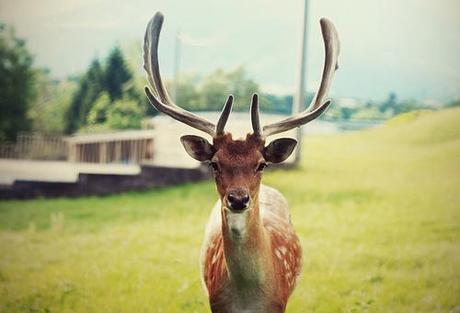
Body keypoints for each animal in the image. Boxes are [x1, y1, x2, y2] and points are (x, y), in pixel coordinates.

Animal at [142, 11, 340, 310]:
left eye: (261, 164)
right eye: (214, 163)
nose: (238, 198)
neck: (247, 298)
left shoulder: (280, 303)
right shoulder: (215, 303)